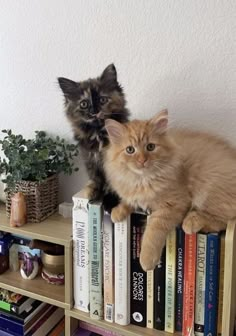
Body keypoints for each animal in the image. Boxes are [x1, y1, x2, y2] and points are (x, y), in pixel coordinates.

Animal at [58, 63, 130, 210]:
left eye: (102, 100)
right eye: (84, 104)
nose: (94, 112)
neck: (99, 133)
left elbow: (113, 184)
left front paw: (110, 199)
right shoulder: (90, 158)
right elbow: (95, 178)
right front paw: (93, 190)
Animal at [104, 109, 236, 270]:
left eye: (150, 147)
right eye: (130, 150)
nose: (142, 160)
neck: (143, 180)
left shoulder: (174, 205)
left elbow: (153, 231)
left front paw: (146, 259)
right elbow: (128, 201)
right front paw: (117, 212)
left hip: (209, 187)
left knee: (224, 218)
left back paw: (191, 222)